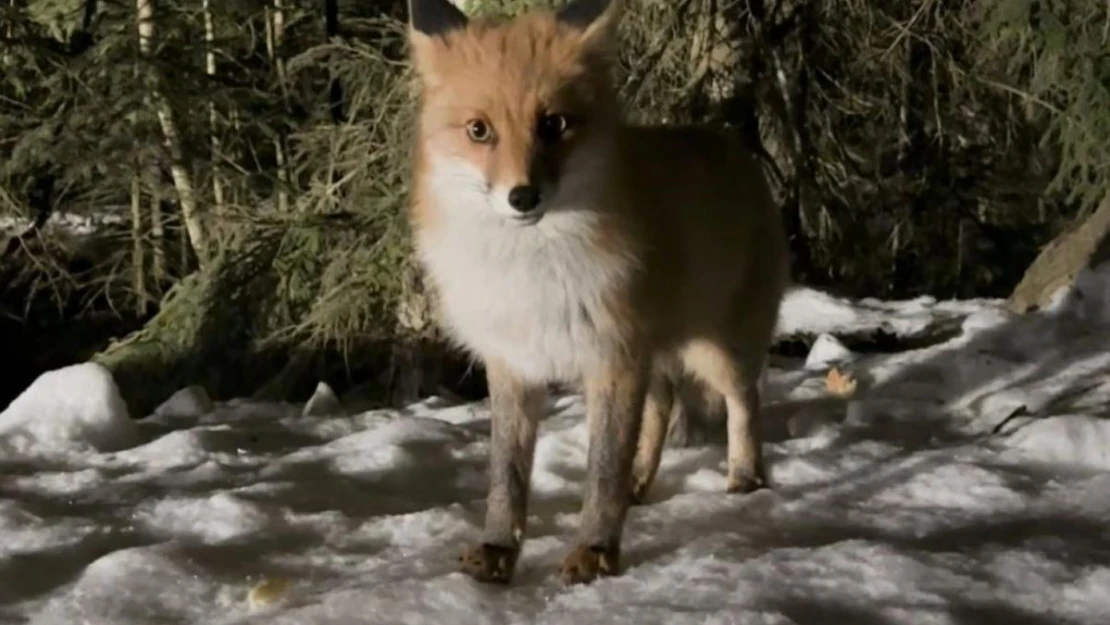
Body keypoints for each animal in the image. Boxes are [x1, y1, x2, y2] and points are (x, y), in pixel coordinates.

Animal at [404, 0, 785, 586]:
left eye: (554, 124)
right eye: (478, 130)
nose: (522, 196)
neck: (532, 272)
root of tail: (731, 145)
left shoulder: (613, 357)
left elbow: (602, 471)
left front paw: (596, 550)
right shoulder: (515, 364)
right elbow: (506, 475)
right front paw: (498, 549)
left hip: (714, 350)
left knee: (743, 399)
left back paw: (745, 476)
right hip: (661, 353)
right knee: (661, 406)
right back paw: (642, 484)